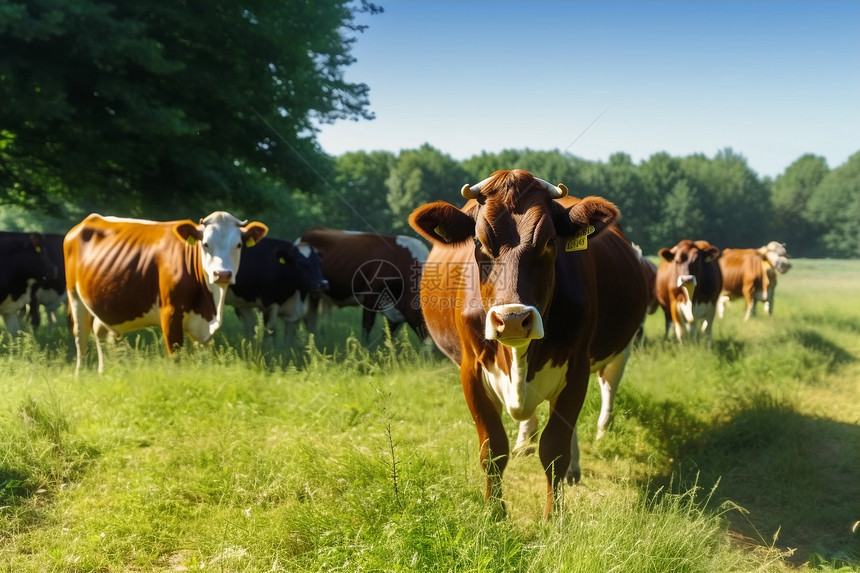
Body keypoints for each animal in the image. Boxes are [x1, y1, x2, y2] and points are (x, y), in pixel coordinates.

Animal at [64, 211, 268, 376]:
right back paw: (80, 376)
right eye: (206, 244)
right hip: (74, 296)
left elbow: (203, 359)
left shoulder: (205, 329)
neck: (210, 304)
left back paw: (104, 372)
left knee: (100, 332)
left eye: (239, 245)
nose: (223, 274)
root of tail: (87, 221)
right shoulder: (170, 313)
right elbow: (176, 356)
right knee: (81, 337)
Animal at [298, 227, 430, 344]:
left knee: (310, 319)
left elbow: (388, 334)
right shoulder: (370, 297)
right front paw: (365, 350)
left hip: (315, 295)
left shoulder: (397, 311)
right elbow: (367, 326)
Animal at [408, 170, 644, 520]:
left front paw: (553, 516)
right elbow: (492, 449)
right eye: (479, 242)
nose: (513, 319)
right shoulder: (470, 371)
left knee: (607, 389)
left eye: (550, 242)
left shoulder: (577, 367)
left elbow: (555, 447)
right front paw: (494, 513)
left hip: (620, 351)